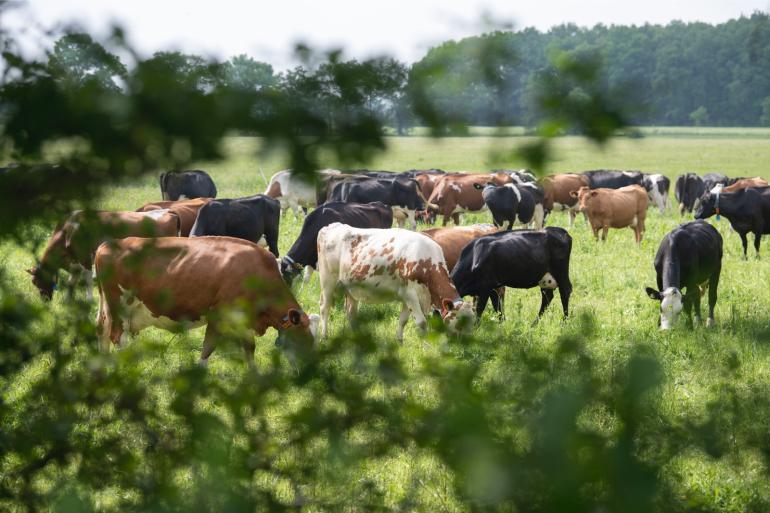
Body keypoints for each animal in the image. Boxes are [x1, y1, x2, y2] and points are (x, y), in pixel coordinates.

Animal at [27, 210, 180, 302]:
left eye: (36, 281)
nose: (45, 301)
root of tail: (168, 210)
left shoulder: (85, 256)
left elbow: (87, 279)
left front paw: (89, 300)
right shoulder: (75, 261)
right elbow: (72, 282)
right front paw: (68, 300)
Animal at [94, 237, 318, 364]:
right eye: (304, 339)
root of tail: (107, 244)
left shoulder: (243, 318)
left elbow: (249, 348)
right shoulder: (218, 316)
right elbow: (208, 348)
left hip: (107, 307)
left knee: (102, 331)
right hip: (119, 305)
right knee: (116, 336)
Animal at [314, 223, 472, 340]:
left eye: (472, 321)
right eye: (459, 321)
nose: (466, 343)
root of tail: (330, 226)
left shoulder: (407, 296)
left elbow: (403, 321)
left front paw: (400, 342)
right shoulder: (411, 294)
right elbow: (421, 322)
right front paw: (426, 346)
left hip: (351, 288)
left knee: (350, 312)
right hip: (328, 281)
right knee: (324, 307)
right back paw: (324, 336)